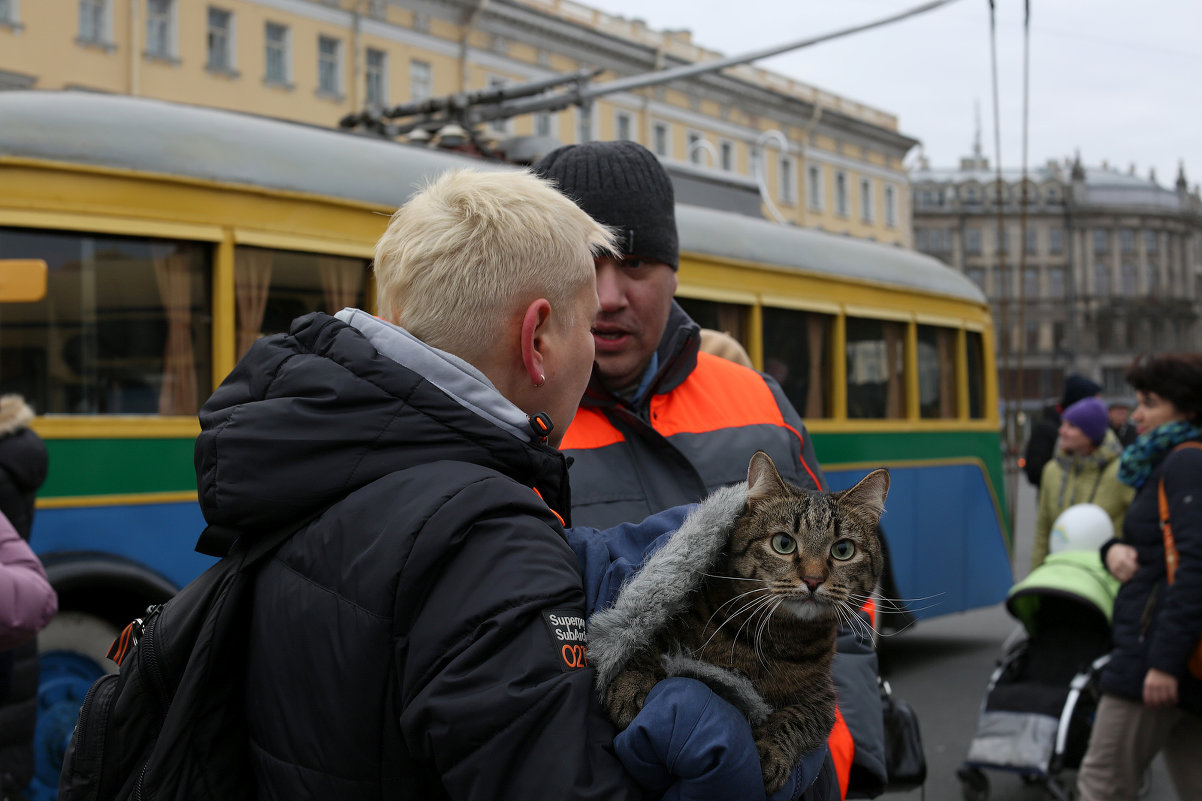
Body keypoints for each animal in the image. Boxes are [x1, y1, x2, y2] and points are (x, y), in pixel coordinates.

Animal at [605, 449, 889, 793]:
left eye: (843, 549)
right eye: (784, 543)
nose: (813, 579)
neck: (776, 638)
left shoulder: (822, 701)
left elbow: (795, 720)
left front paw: (768, 753)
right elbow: (647, 638)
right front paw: (631, 682)